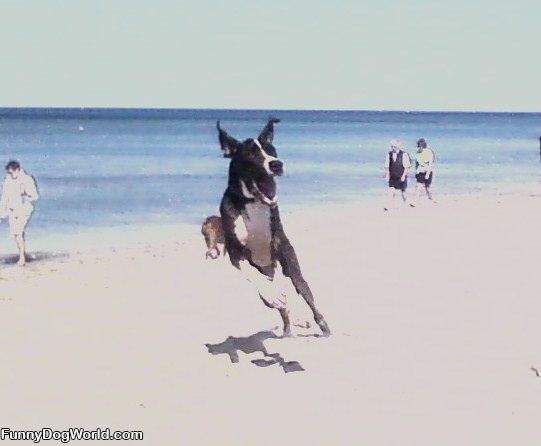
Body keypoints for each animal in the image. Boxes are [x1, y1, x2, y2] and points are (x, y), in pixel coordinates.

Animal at [215, 116, 330, 336]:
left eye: (272, 150)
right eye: (251, 153)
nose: (276, 164)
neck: (253, 202)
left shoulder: (280, 244)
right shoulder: (234, 251)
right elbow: (251, 273)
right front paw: (273, 295)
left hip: (294, 275)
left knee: (303, 292)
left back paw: (318, 323)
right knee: (279, 304)